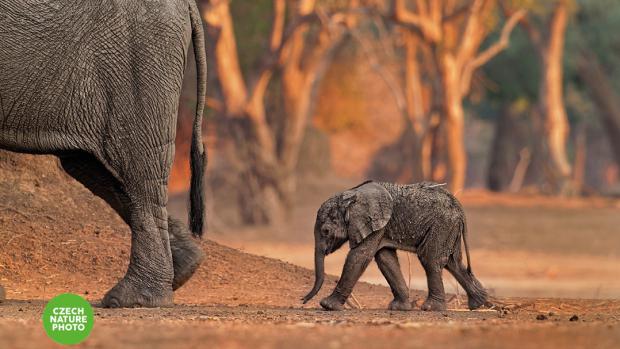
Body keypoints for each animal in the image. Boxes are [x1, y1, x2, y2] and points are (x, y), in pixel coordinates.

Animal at [0, 0, 208, 308]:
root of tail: (186, 3)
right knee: (99, 171)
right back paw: (183, 269)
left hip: (140, 58)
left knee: (136, 167)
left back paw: (133, 299)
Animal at [302, 179, 486, 310]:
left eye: (326, 231)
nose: (302, 300)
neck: (352, 195)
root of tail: (459, 207)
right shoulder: (381, 226)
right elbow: (385, 259)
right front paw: (400, 308)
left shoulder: (375, 223)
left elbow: (360, 256)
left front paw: (327, 306)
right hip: (449, 227)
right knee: (452, 262)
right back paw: (479, 303)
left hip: (442, 225)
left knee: (431, 259)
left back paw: (431, 308)